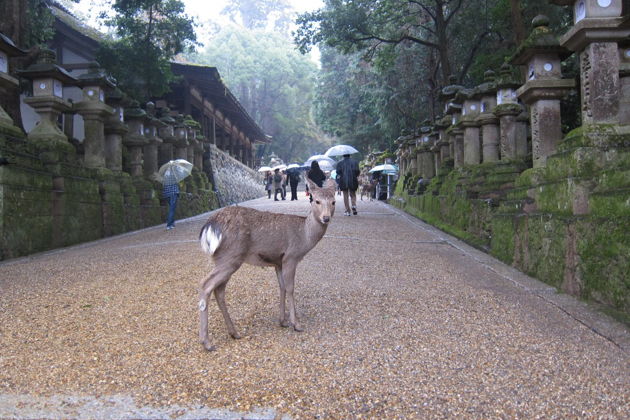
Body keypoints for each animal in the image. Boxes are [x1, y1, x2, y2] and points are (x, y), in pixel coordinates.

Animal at [199, 177, 338, 352]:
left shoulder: (278, 262)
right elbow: (291, 288)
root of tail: (210, 226)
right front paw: (296, 324)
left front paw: (282, 321)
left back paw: (234, 333)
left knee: (219, 290)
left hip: (223, 258)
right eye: (316, 200)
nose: (326, 218)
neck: (304, 237)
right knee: (206, 285)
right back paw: (207, 342)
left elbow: (282, 287)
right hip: (231, 256)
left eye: (333, 202)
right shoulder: (291, 257)